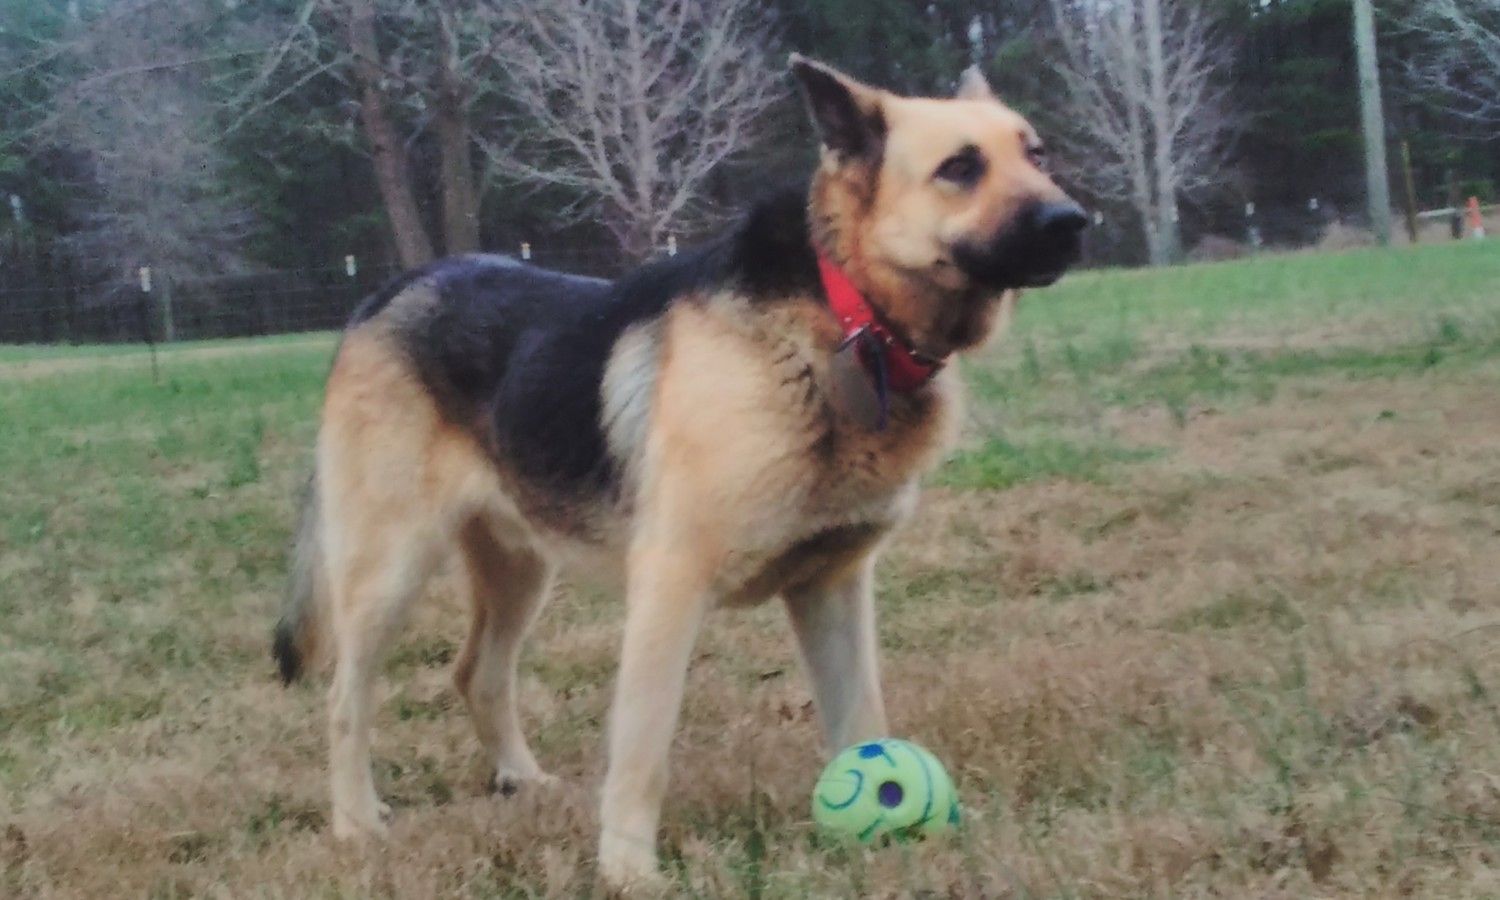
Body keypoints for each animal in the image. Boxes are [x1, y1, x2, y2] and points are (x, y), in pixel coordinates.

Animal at [273, 55, 1085, 888]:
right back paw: (355, 823)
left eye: (1037, 154)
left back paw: (519, 779)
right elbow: (643, 750)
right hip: (389, 570)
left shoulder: (832, 589)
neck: (845, 317)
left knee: (478, 673)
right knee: (345, 698)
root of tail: (383, 294)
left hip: (520, 567)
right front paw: (628, 870)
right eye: (960, 168)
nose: (1073, 221)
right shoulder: (670, 587)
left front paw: (888, 831)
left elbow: (863, 720)